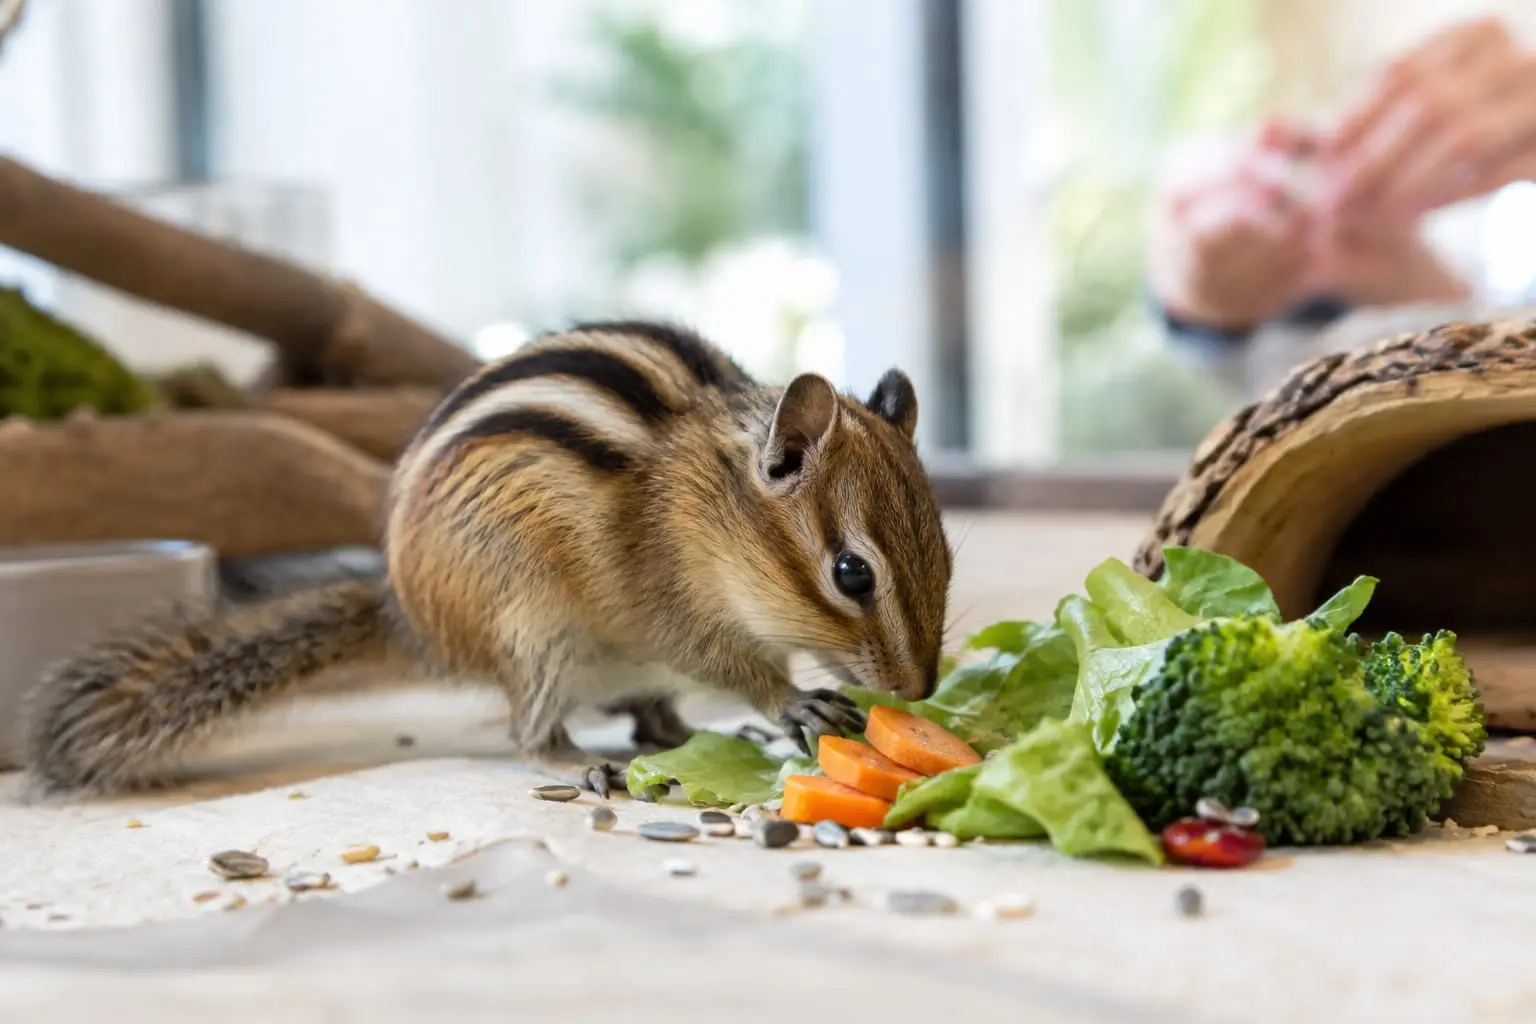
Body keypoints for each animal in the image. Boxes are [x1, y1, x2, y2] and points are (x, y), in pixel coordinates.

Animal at [21, 319, 954, 799]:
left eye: (946, 554)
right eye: (852, 574)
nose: (917, 693)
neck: (709, 507)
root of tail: (416, 622)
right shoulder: (666, 596)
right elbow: (717, 656)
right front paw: (793, 701)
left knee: (648, 712)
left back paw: (681, 735)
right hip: (531, 632)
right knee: (530, 734)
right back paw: (592, 763)